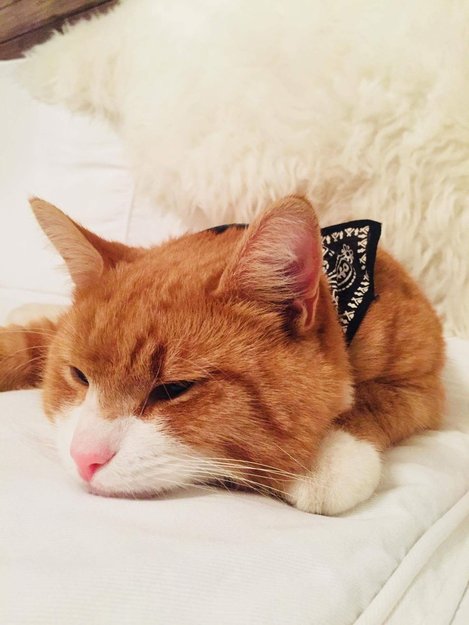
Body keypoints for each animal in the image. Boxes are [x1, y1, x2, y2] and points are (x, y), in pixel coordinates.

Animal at [0, 196, 445, 515]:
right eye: (79, 376)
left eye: (174, 389)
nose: (84, 458)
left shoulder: (425, 385)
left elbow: (374, 399)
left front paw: (329, 459)